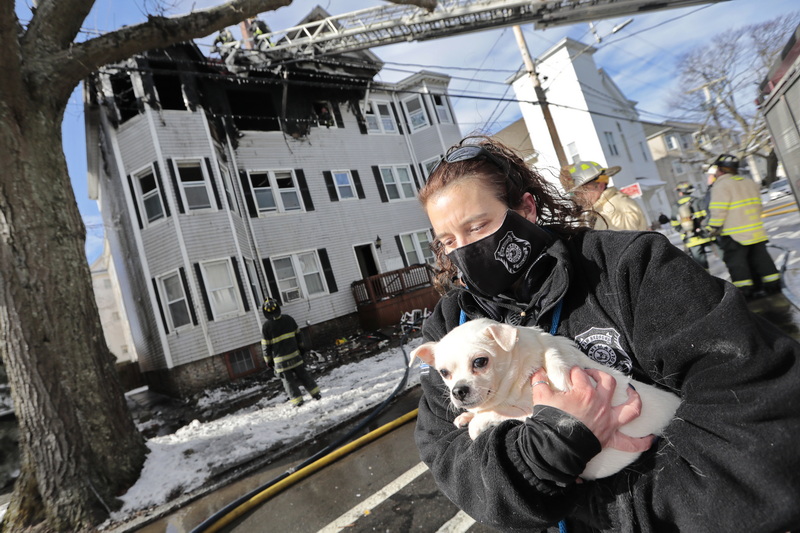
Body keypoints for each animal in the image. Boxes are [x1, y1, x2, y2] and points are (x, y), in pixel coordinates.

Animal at [412, 316, 680, 478]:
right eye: (444, 373)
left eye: (480, 362)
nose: (458, 390)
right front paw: (467, 416)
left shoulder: (531, 410)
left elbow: (500, 411)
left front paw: (476, 423)